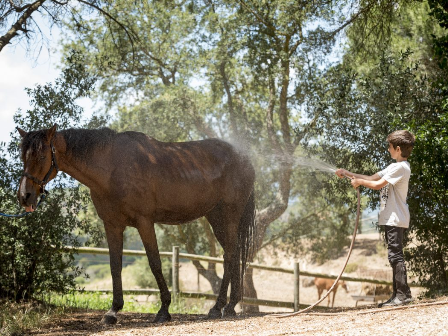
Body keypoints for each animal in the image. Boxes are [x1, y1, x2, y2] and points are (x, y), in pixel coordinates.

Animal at [16, 124, 256, 324]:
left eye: (42, 154)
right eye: (22, 156)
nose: (24, 197)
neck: (112, 167)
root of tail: (244, 159)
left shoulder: (144, 223)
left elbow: (155, 263)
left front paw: (163, 310)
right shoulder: (112, 225)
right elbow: (115, 266)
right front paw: (113, 311)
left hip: (229, 216)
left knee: (229, 256)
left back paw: (217, 308)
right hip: (216, 218)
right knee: (233, 254)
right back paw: (230, 307)